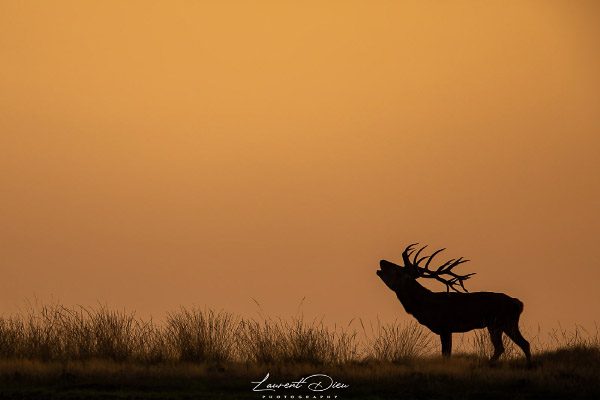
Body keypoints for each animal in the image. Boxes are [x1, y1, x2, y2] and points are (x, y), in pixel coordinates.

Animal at [378, 244, 532, 362]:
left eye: (397, 269)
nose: (382, 261)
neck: (425, 305)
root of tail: (518, 303)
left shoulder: (445, 326)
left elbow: (446, 353)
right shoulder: (448, 329)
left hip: (500, 322)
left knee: (508, 346)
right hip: (503, 324)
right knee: (520, 344)